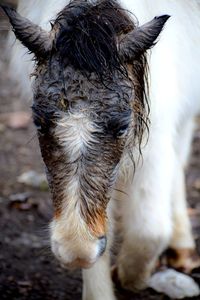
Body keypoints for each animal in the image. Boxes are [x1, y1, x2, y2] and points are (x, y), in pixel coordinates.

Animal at [2, 0, 200, 298]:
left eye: (122, 126)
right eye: (38, 122)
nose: (75, 249)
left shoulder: (157, 140)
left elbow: (149, 230)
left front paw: (130, 277)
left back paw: (182, 243)